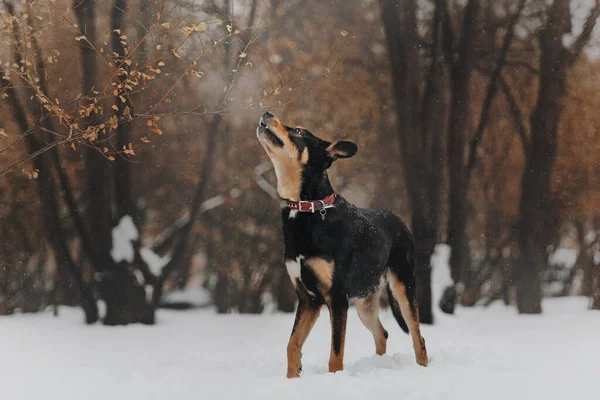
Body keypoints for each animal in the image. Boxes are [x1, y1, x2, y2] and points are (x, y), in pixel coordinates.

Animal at [255, 111, 428, 376]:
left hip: (404, 288)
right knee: (382, 333)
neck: (308, 207)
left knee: (419, 338)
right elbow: (292, 345)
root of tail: (399, 219)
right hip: (365, 301)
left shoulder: (336, 299)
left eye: (299, 131)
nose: (267, 113)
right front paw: (293, 377)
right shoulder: (308, 299)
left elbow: (335, 356)